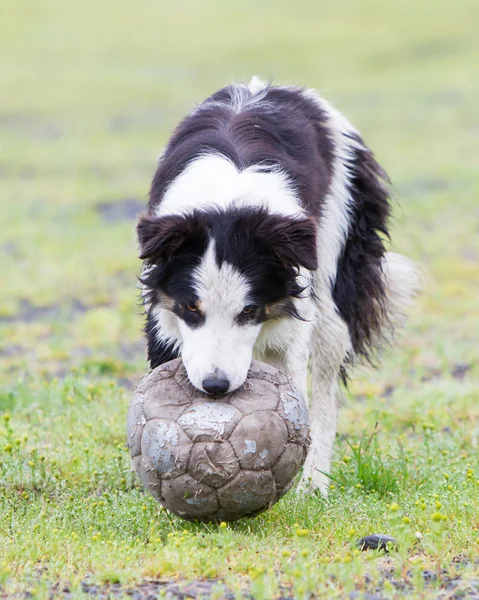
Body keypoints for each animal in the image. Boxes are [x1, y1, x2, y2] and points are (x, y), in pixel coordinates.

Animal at [136, 77, 420, 494]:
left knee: (328, 357)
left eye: (249, 310)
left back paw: (315, 483)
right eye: (191, 307)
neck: (228, 203)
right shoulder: (164, 304)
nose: (216, 386)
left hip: (338, 231)